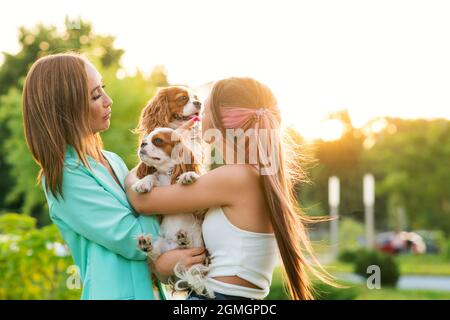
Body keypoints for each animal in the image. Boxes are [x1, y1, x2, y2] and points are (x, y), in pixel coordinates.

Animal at [133, 127, 212, 298]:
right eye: (145, 138)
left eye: (158, 140)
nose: (142, 143)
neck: (167, 174)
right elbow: (152, 175)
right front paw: (143, 183)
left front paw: (188, 175)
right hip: (163, 246)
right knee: (155, 253)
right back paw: (146, 244)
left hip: (198, 246)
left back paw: (184, 239)